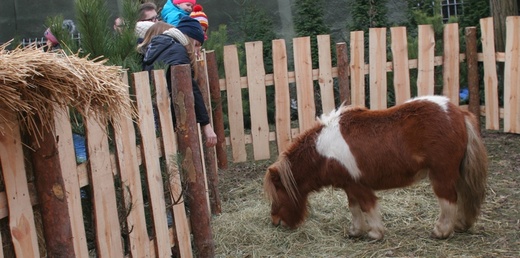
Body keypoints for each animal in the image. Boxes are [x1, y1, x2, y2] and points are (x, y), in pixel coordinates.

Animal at [264, 95, 488, 240]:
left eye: (277, 194)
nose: (275, 222)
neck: (323, 151)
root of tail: (459, 113)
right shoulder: (349, 185)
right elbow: (354, 208)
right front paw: (355, 231)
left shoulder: (359, 186)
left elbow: (367, 207)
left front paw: (375, 233)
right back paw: (460, 225)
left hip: (441, 174)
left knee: (448, 200)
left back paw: (441, 231)